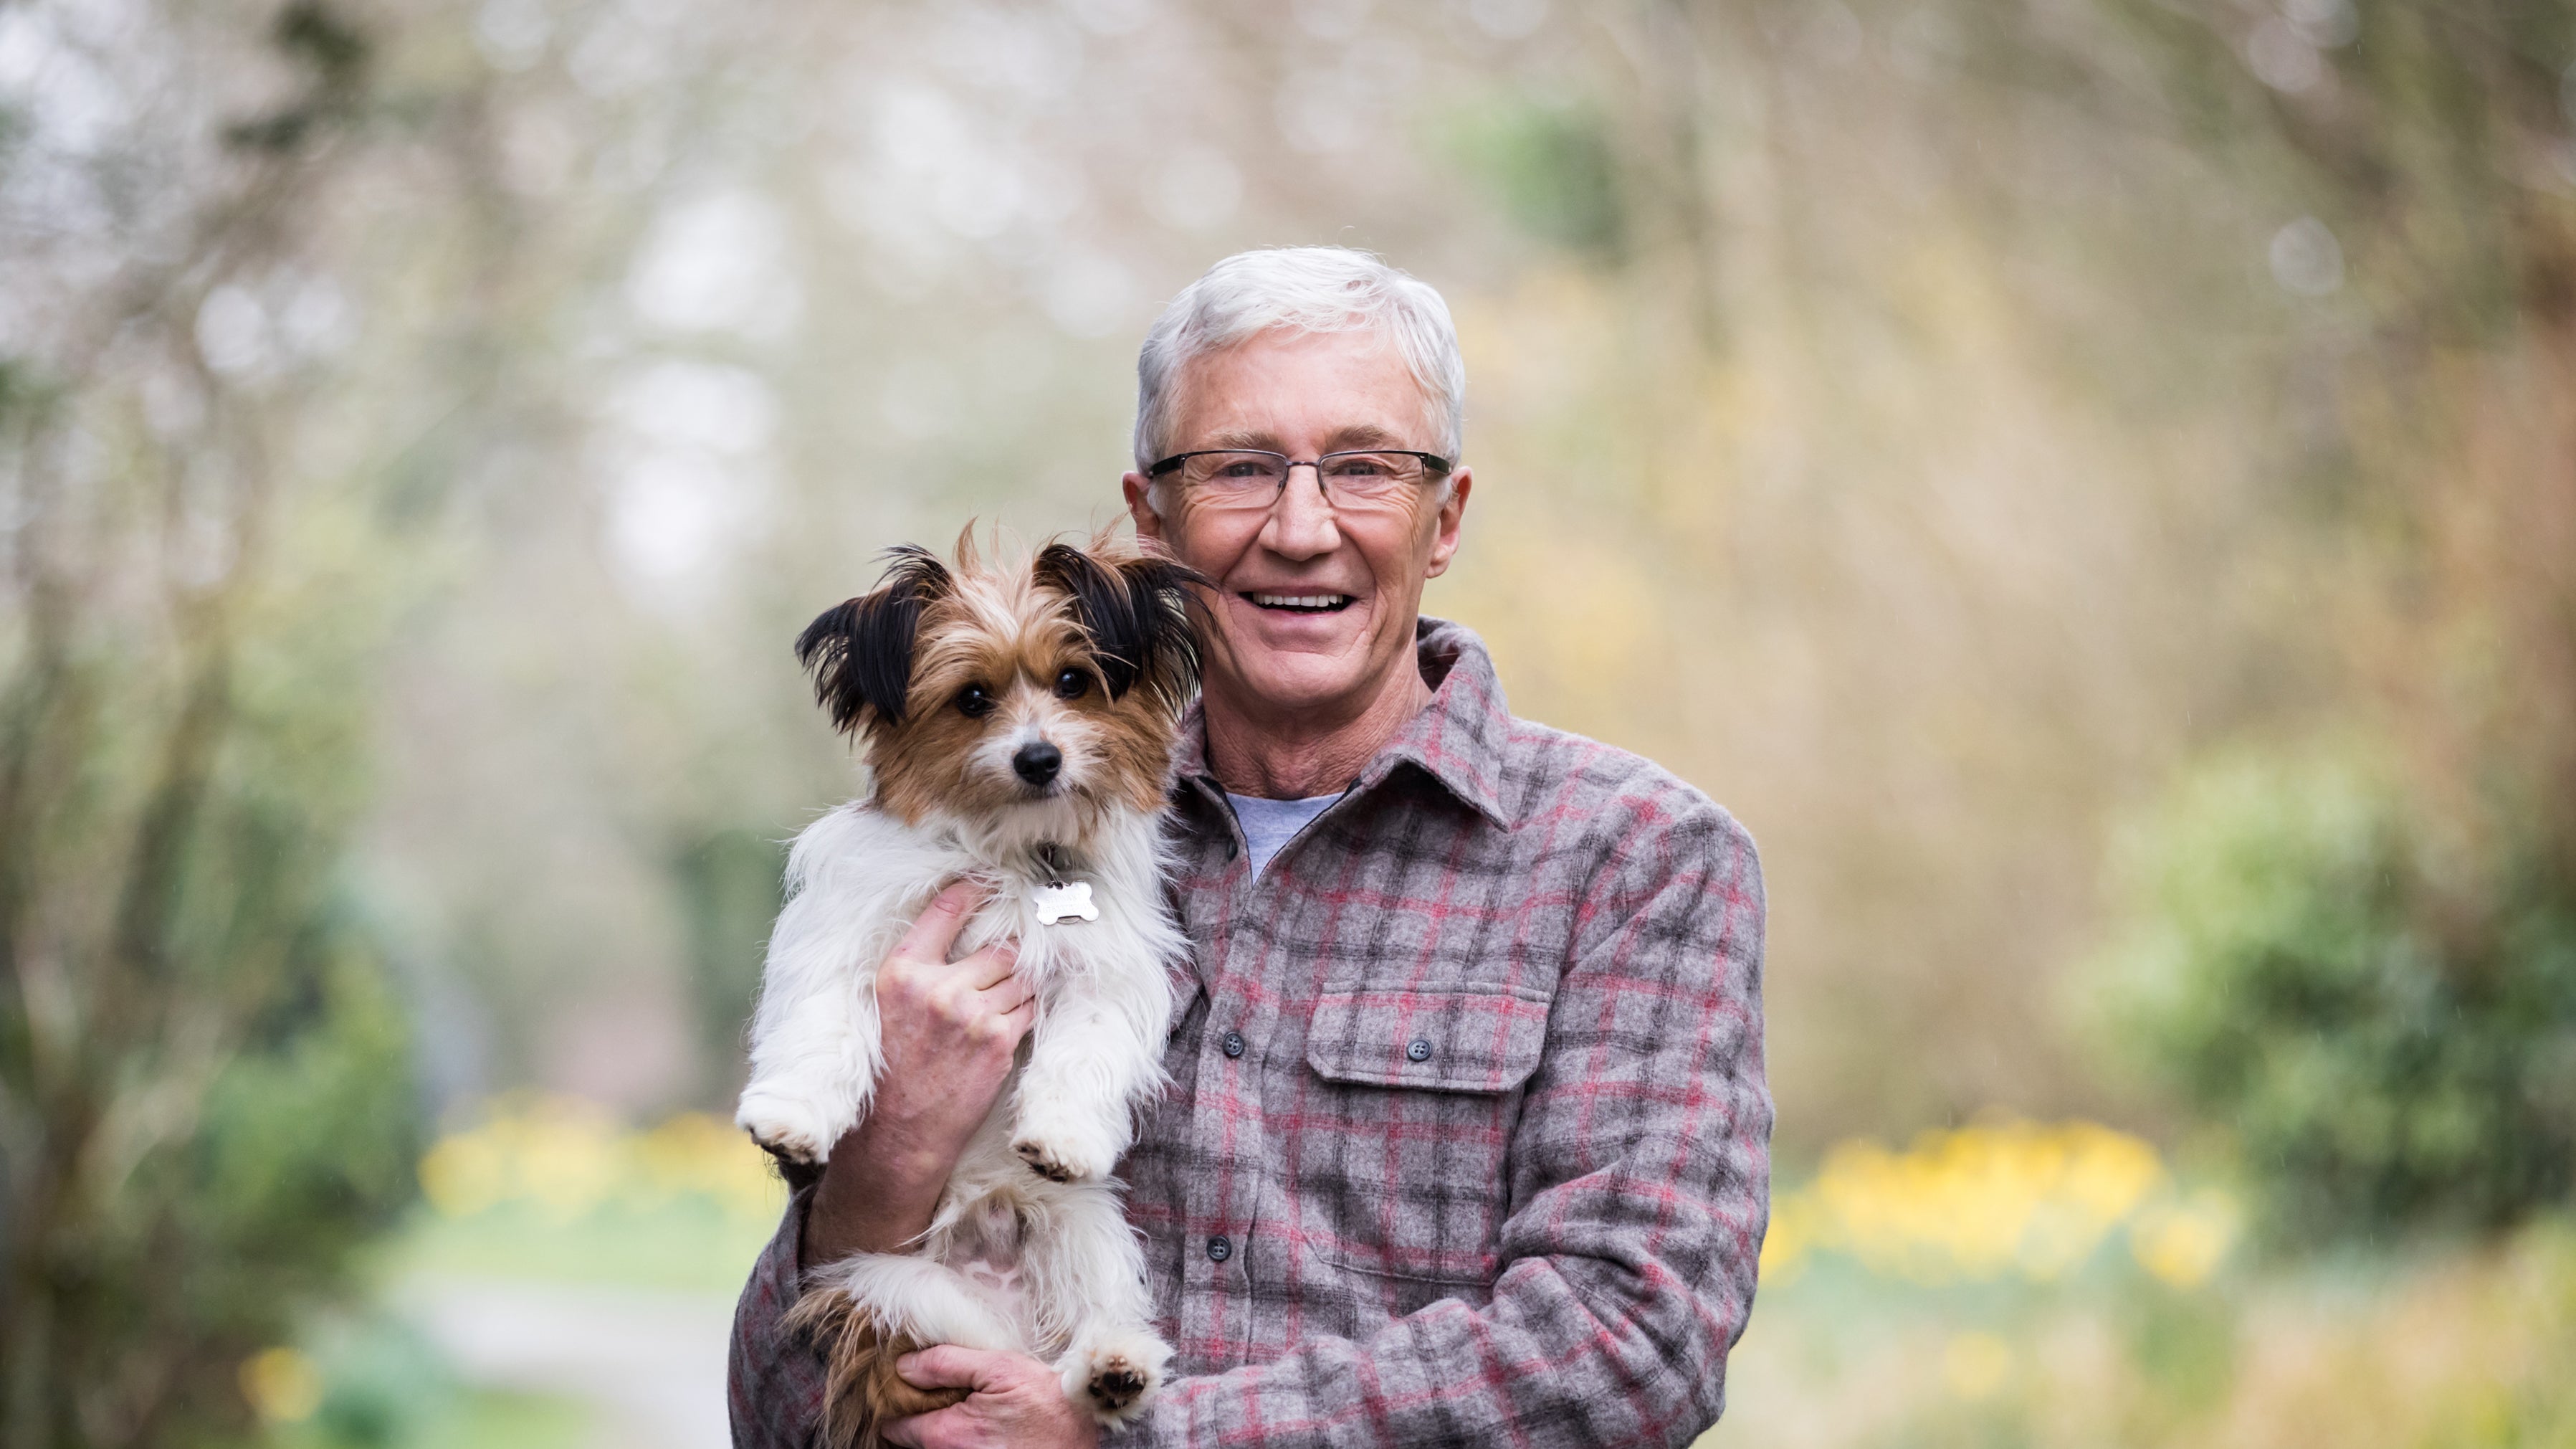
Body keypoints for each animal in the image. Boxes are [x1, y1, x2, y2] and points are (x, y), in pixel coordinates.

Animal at [736, 523, 1195, 1433]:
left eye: (1073, 681)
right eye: (973, 698)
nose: (1040, 756)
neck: (1013, 854)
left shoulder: (1105, 970)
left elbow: (1085, 1051)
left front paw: (1063, 1135)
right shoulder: (847, 928)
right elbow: (823, 1023)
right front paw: (792, 1115)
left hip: (1085, 1228)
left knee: (1091, 1319)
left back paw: (1113, 1367)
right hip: (895, 1287)